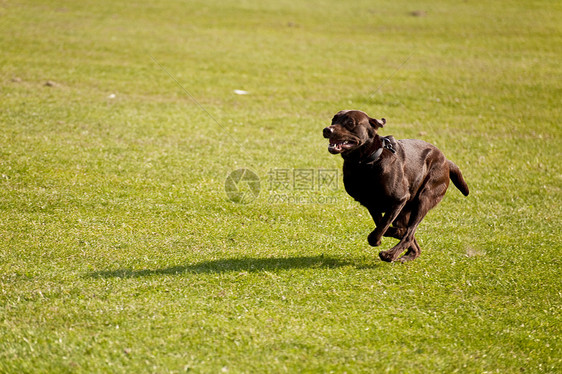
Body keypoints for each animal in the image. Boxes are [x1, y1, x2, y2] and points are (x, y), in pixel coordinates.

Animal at [322, 110, 466, 262]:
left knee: (409, 234)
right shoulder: (371, 204)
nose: (327, 130)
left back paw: (390, 254)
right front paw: (396, 232)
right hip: (405, 212)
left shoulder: (398, 200)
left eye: (350, 122)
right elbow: (383, 227)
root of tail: (446, 161)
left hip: (424, 199)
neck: (366, 164)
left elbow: (379, 231)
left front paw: (385, 239)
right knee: (411, 238)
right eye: (334, 119)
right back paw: (407, 254)